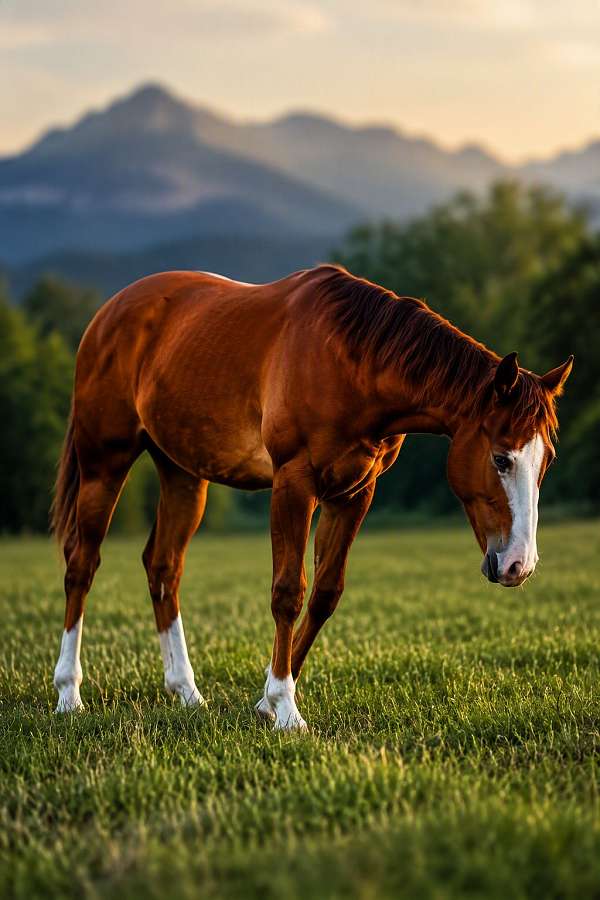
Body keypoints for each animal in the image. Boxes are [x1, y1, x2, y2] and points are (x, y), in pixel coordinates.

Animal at [51, 265, 573, 729]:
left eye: (546, 461)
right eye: (501, 458)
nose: (518, 565)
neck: (352, 364)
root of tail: (110, 313)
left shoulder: (355, 492)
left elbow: (324, 594)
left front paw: (266, 703)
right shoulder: (294, 483)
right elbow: (288, 593)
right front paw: (286, 708)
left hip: (182, 474)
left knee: (163, 568)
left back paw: (186, 692)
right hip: (104, 463)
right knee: (82, 565)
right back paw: (69, 694)